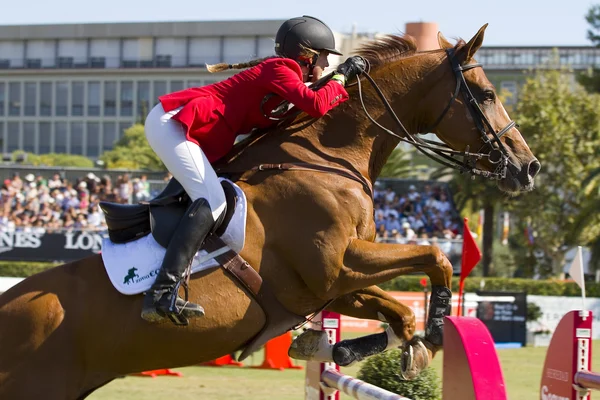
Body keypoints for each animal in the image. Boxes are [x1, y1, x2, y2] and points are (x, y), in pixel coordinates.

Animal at [0, 25, 540, 400]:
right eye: (488, 95)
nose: (528, 166)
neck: (324, 156)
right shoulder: (334, 266)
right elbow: (434, 256)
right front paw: (435, 326)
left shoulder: (327, 286)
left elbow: (393, 306)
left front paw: (367, 347)